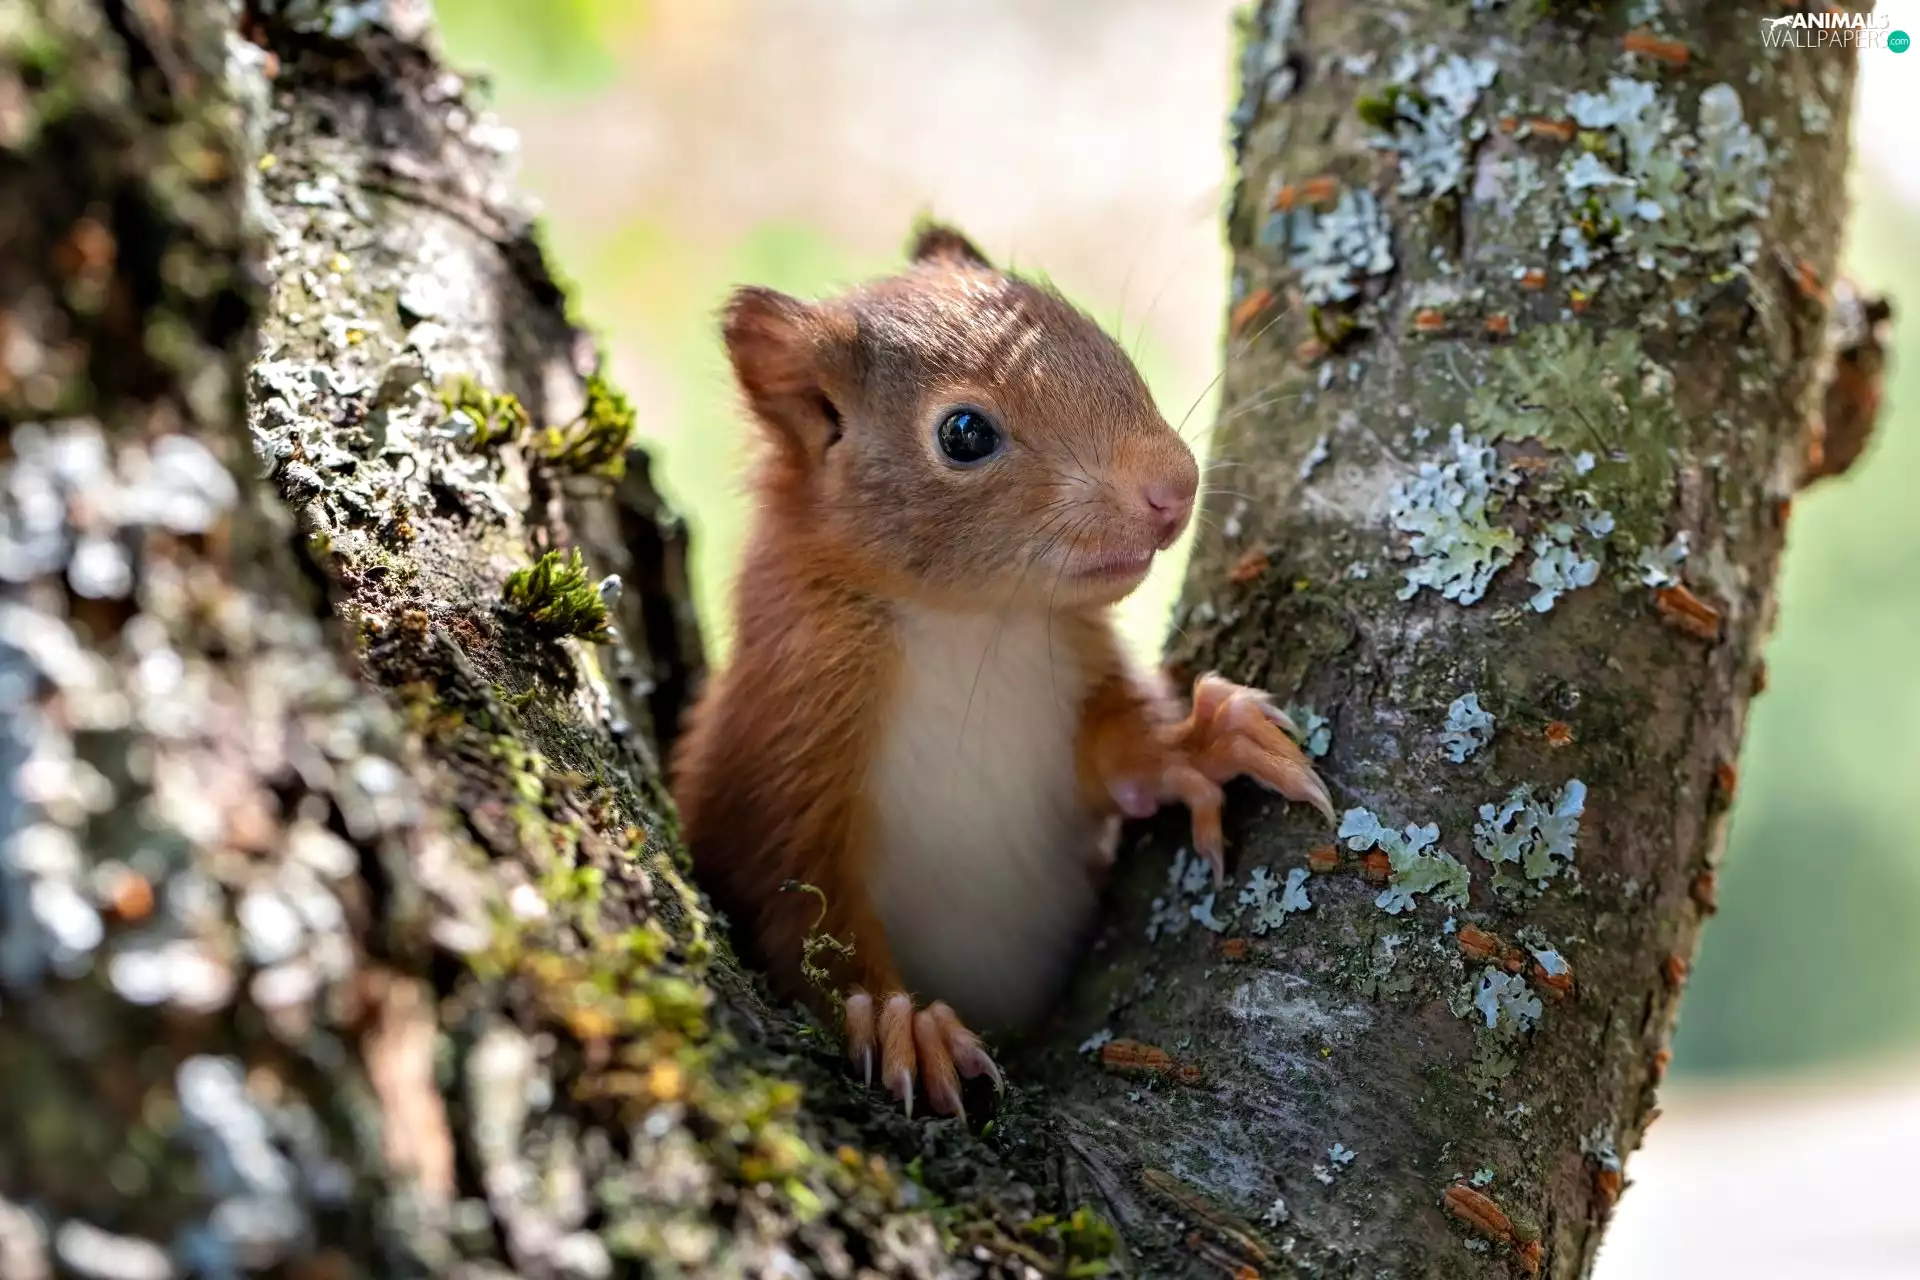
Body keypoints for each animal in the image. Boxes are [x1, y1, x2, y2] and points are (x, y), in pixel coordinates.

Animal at [669, 223, 1334, 1119]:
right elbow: (798, 907)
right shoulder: (784, 735)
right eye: (964, 435)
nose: (1174, 487)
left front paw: (1200, 744)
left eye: (1105, 346)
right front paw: (900, 1021)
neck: (976, 624)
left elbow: (1122, 760)